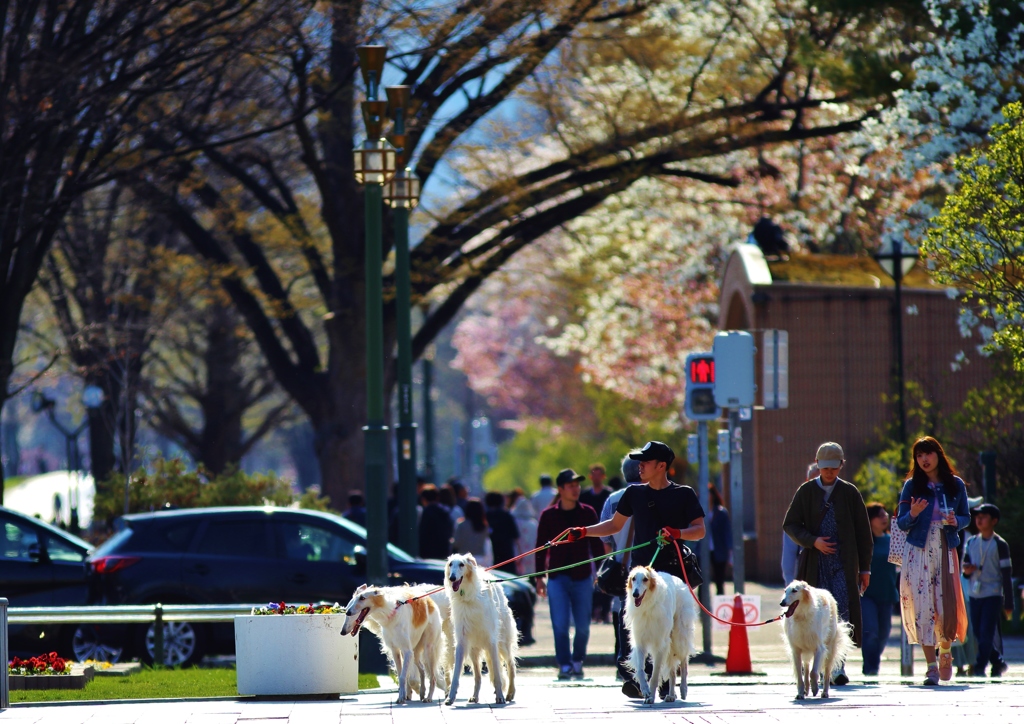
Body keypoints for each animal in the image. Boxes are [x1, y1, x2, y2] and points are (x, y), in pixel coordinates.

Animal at [444, 552, 520, 704]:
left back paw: (510, 693)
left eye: (461, 564)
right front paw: (450, 697)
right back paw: (475, 696)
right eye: (450, 564)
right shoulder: (462, 641)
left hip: (502, 643)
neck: (467, 597)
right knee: (478, 676)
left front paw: (500, 696)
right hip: (474, 650)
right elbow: (456, 674)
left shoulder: (491, 641)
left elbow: (497, 674)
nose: (452, 578)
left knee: (511, 665)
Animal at [618, 569, 700, 704]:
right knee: (672, 672)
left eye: (645, 579)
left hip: (679, 636)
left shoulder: (660, 644)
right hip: (671, 643)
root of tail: (678, 580)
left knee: (684, 662)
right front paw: (645, 690)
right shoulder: (640, 642)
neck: (647, 607)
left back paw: (683, 689)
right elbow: (640, 670)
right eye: (633, 578)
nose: (635, 594)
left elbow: (655, 675)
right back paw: (671, 695)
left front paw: (651, 696)